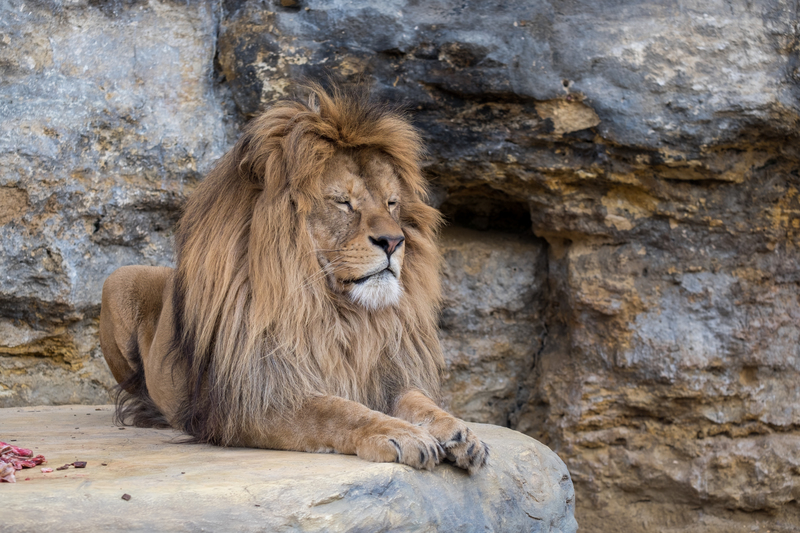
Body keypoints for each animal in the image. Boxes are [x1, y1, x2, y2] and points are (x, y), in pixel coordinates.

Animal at [100, 85, 488, 472]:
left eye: (392, 203)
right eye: (342, 201)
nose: (394, 241)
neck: (339, 314)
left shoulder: (386, 376)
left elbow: (420, 402)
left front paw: (459, 432)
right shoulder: (255, 400)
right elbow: (338, 412)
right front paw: (401, 434)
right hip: (118, 278)